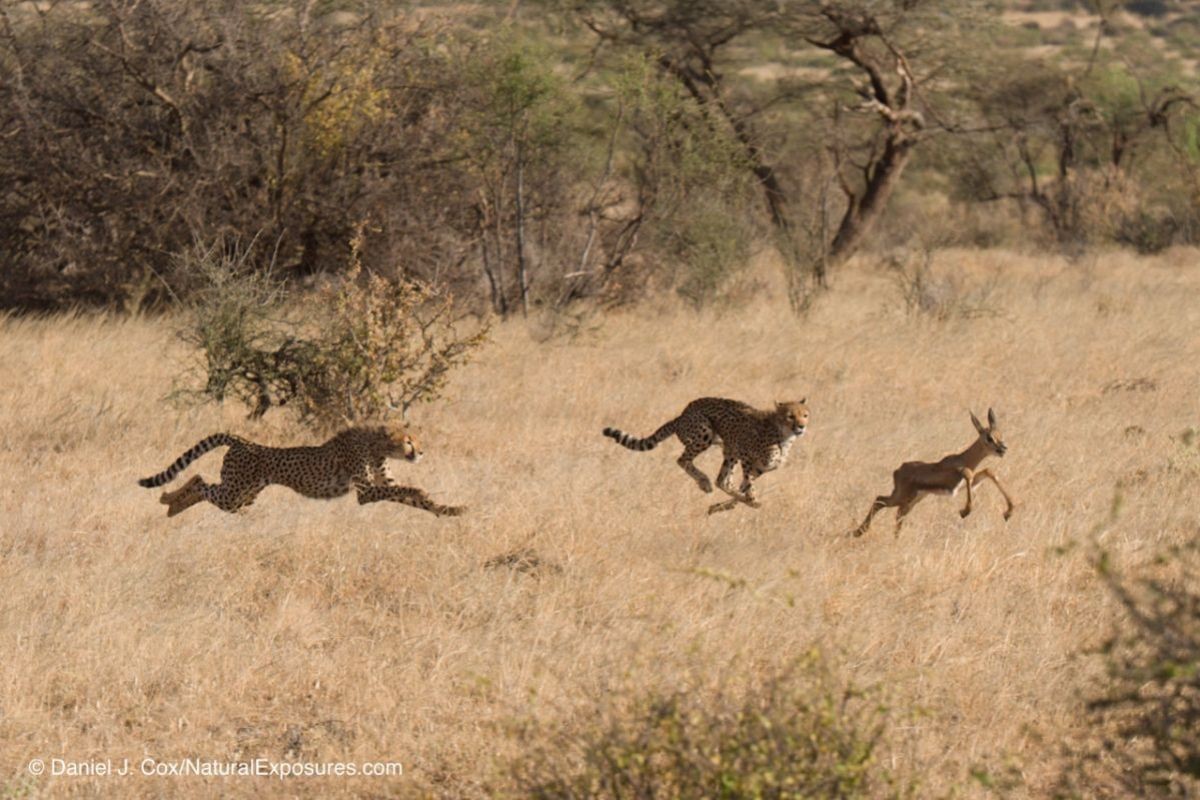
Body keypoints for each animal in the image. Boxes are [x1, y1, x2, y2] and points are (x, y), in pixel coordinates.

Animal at [852, 408, 1015, 537]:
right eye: (989, 437)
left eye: (1000, 434)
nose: (1003, 449)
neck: (964, 458)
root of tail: (898, 470)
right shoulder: (957, 479)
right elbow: (967, 472)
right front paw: (964, 511)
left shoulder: (968, 483)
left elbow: (989, 471)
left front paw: (1008, 512)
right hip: (901, 498)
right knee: (879, 500)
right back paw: (857, 532)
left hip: (911, 501)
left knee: (897, 514)